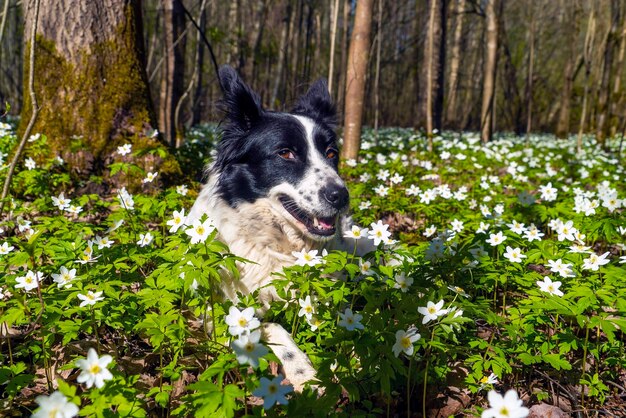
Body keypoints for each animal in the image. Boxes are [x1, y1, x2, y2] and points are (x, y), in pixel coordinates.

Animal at [188, 64, 368, 388]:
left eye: (331, 153)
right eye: (285, 153)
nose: (341, 196)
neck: (280, 244)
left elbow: (342, 322)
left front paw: (353, 356)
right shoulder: (219, 309)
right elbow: (271, 326)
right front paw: (304, 372)